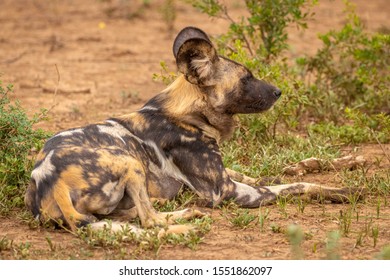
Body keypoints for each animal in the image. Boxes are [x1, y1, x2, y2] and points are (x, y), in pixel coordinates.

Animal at [24, 26, 354, 234]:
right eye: (246, 78)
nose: (278, 91)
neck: (189, 115)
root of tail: (49, 180)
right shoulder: (224, 191)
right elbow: (294, 186)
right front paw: (343, 191)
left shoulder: (227, 175)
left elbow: (276, 175)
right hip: (129, 162)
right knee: (149, 222)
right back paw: (187, 220)